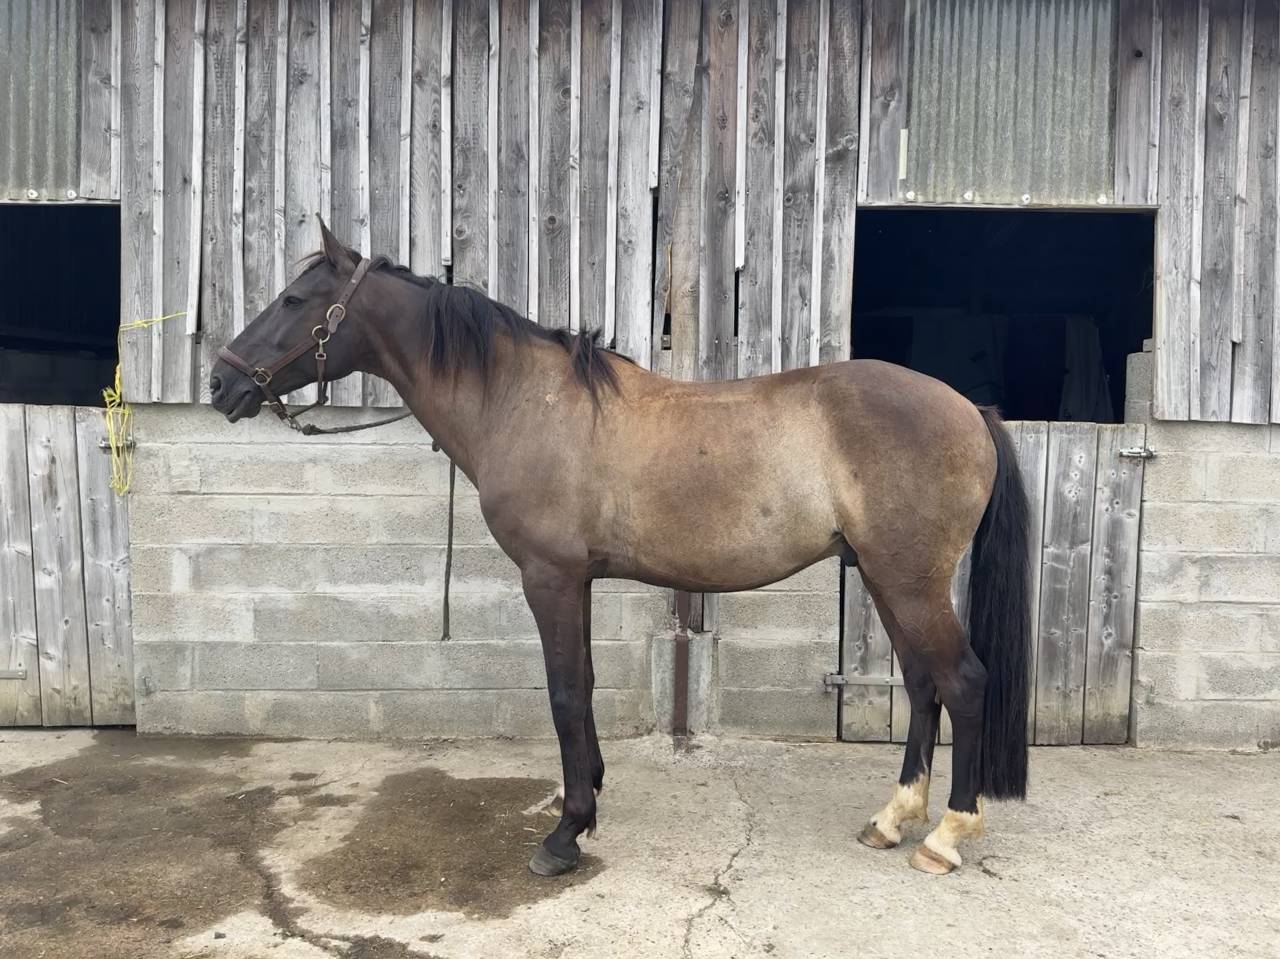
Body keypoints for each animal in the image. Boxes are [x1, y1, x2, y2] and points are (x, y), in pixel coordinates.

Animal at [209, 219, 1032, 878]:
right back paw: (894, 819)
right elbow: (585, 682)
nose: (220, 383)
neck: (525, 400)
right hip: (887, 579)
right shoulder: (576, 581)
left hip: (909, 580)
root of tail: (969, 408)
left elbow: (564, 692)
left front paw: (565, 833)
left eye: (293, 301)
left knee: (961, 682)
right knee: (923, 685)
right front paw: (592, 793)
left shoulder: (547, 577)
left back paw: (946, 835)